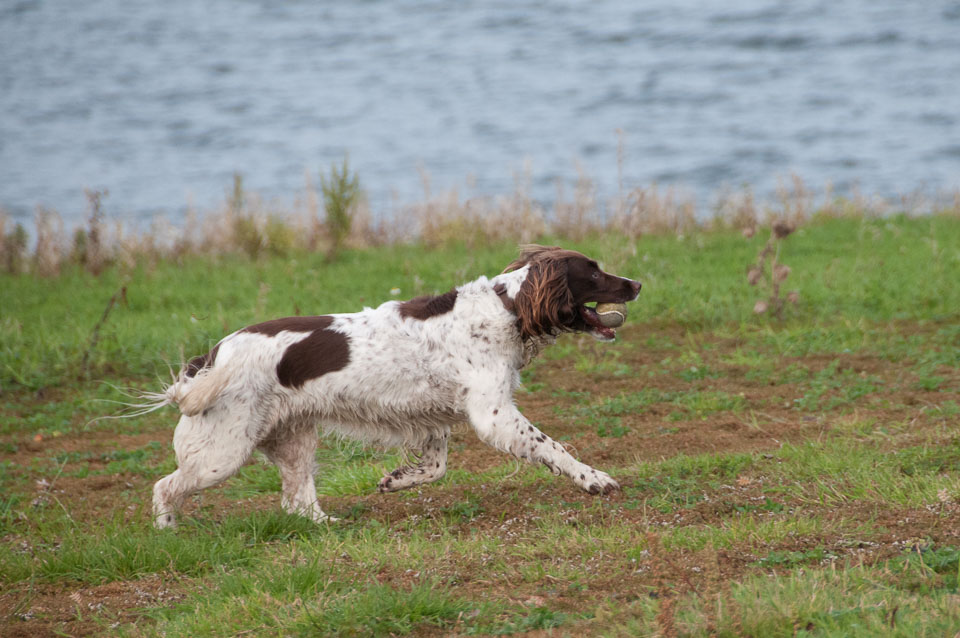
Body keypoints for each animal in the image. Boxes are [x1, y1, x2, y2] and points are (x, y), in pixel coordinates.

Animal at [150, 245, 640, 528]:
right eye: (594, 273)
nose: (636, 283)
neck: (508, 308)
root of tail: (211, 357)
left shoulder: (435, 417)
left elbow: (435, 468)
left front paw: (396, 479)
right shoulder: (495, 414)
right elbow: (554, 448)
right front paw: (595, 479)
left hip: (294, 441)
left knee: (297, 503)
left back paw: (328, 526)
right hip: (222, 454)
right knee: (165, 487)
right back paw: (167, 532)